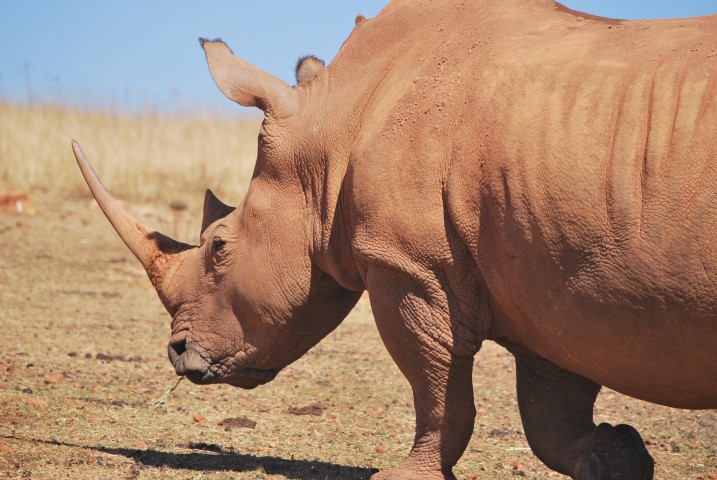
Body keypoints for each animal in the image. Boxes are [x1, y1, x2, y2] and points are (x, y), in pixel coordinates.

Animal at [73, 0, 717, 478]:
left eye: (219, 247)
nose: (178, 353)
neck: (335, 121)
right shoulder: (551, 271)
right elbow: (549, 409)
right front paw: (618, 459)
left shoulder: (409, 265)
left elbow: (435, 384)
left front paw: (405, 475)